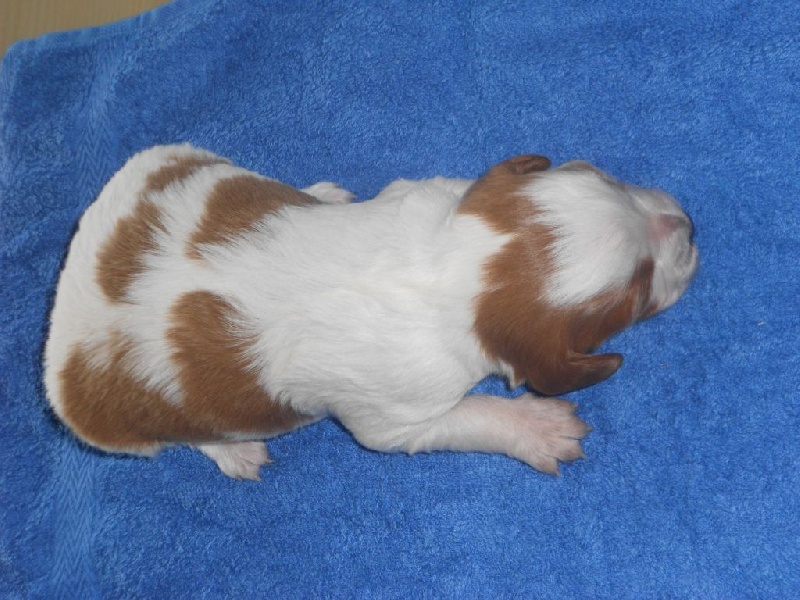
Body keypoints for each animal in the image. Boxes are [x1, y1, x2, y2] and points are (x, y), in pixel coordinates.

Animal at [44, 145, 698, 479]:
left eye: (601, 173)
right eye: (637, 290)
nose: (690, 225)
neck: (458, 265)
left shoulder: (430, 193)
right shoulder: (397, 414)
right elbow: (472, 416)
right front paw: (540, 426)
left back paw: (319, 192)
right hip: (118, 432)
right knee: (185, 438)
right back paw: (234, 450)